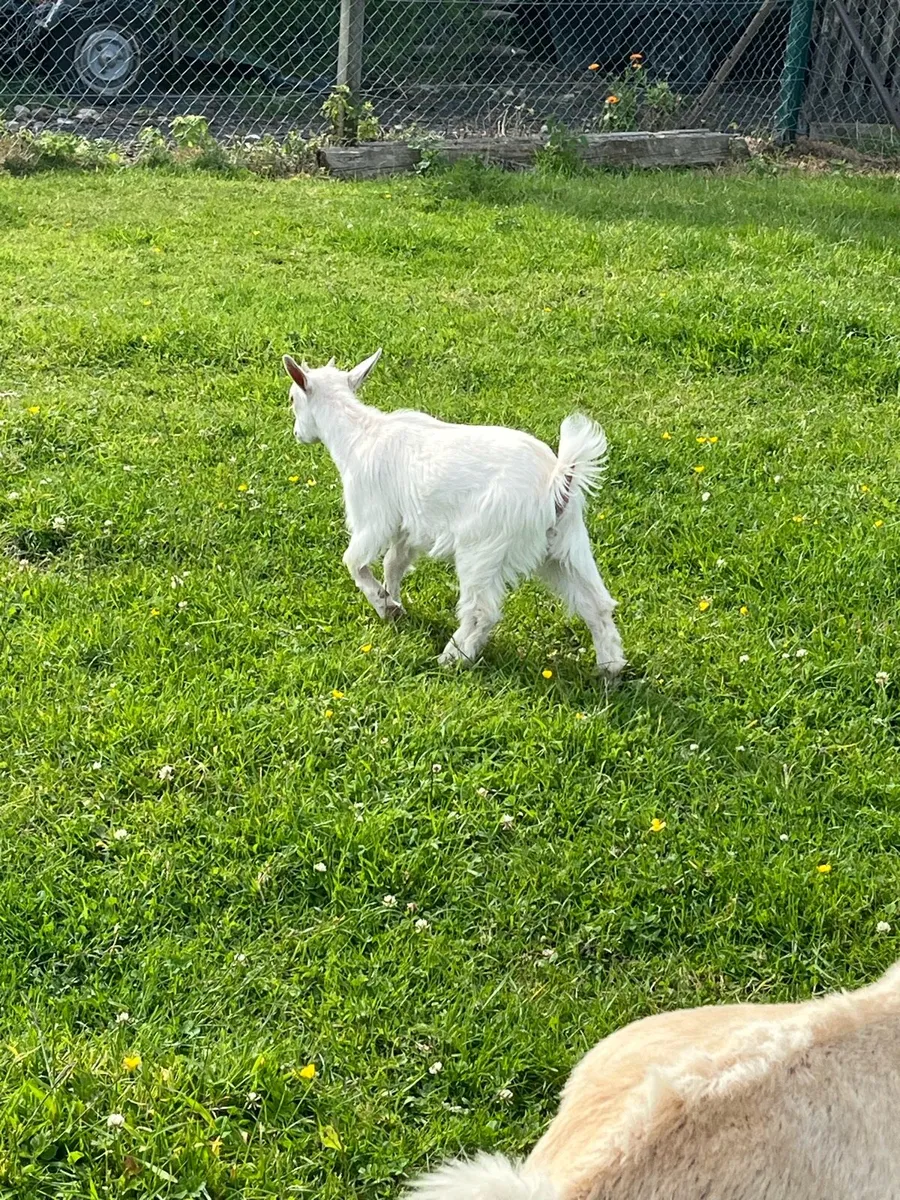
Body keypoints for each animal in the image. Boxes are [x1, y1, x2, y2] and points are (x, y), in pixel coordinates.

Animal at [282, 350, 625, 675]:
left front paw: (384, 604)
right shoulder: (408, 527)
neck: (359, 435)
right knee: (596, 602)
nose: (297, 434)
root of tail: (556, 479)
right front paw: (394, 603)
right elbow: (394, 563)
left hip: (483, 546)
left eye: (292, 398)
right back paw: (610, 668)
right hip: (566, 543)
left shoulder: (373, 517)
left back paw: (453, 657)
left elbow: (354, 562)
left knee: (481, 610)